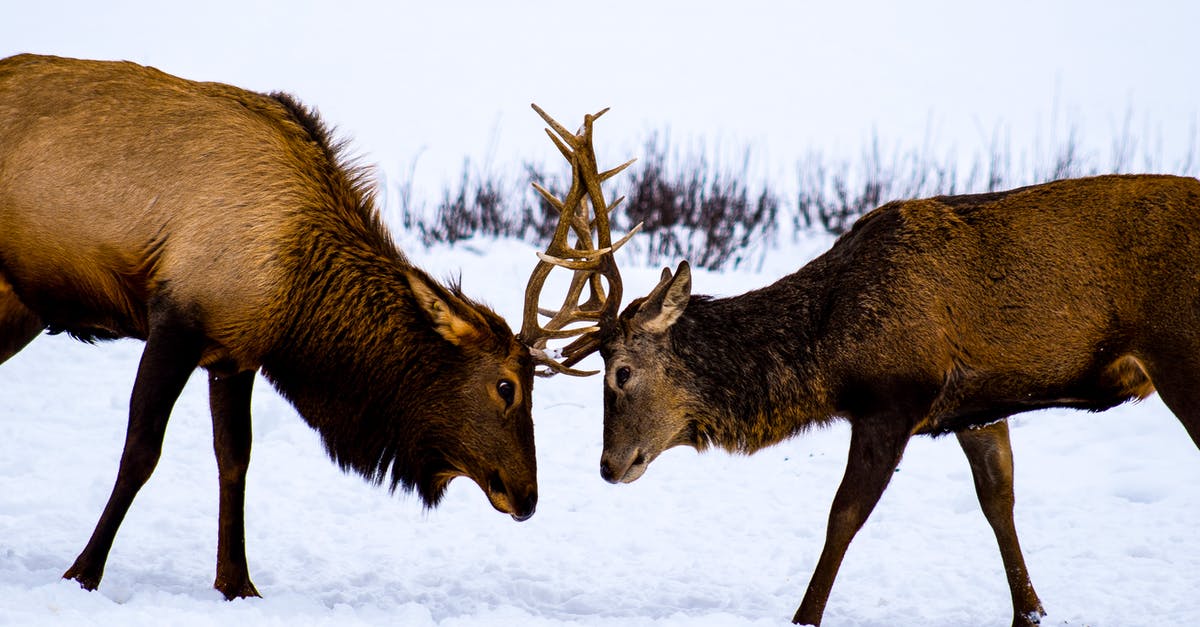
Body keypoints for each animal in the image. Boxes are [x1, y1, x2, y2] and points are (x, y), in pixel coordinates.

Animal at [0, 53, 545, 600]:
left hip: (18, 309)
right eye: (507, 386)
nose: (528, 496)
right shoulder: (176, 320)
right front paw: (82, 573)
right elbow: (141, 452)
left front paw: (236, 583)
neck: (296, 299)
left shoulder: (233, 354)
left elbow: (234, 458)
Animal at [541, 164, 1200, 624]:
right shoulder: (977, 408)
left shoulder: (891, 401)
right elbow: (999, 503)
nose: (608, 465)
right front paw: (1030, 612)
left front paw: (803, 617)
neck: (827, 354)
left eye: (621, 372)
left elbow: (843, 516)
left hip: (1181, 353)